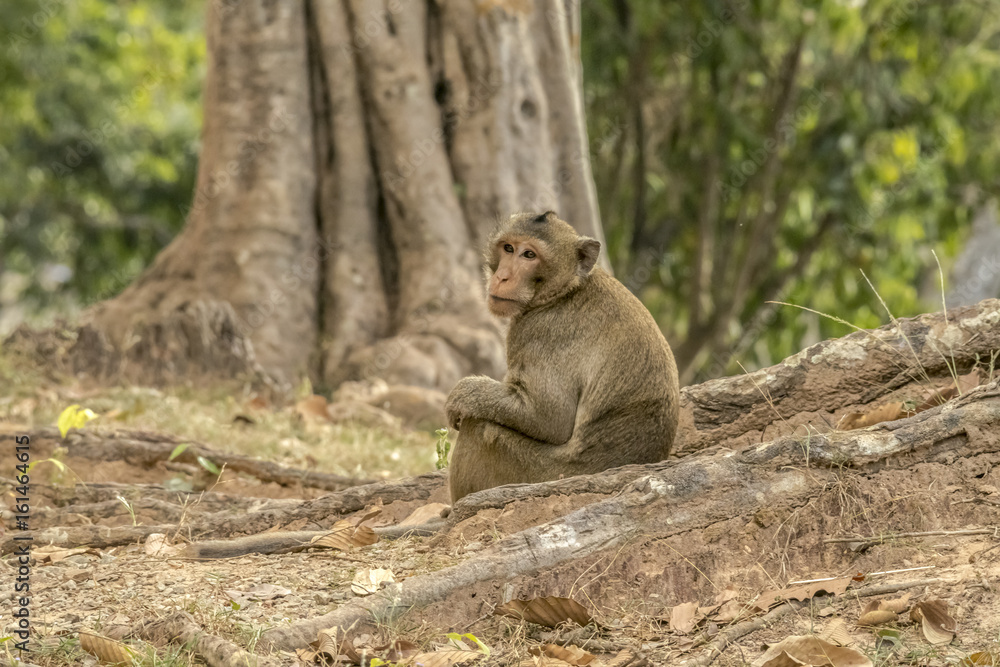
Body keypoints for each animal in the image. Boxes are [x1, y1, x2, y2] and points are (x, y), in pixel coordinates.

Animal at [446, 213, 680, 500]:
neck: (563, 291)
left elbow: (549, 418)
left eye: (529, 255)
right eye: (508, 248)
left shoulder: (540, 332)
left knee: (479, 429)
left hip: (539, 472)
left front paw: (464, 394)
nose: (502, 277)